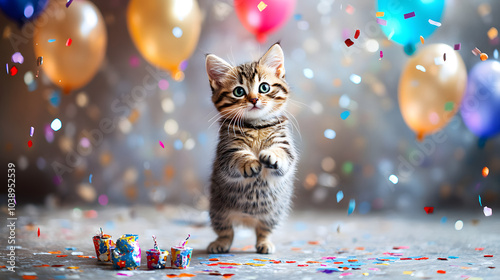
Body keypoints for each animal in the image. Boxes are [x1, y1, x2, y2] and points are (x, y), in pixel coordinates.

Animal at [206, 43, 298, 254]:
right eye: (239, 92)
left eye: (264, 87)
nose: (254, 99)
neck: (256, 126)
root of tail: (246, 220)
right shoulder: (227, 150)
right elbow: (237, 157)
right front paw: (249, 163)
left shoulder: (285, 146)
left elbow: (282, 155)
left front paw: (272, 156)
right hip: (218, 211)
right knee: (227, 231)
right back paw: (220, 243)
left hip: (273, 215)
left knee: (262, 231)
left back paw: (265, 243)